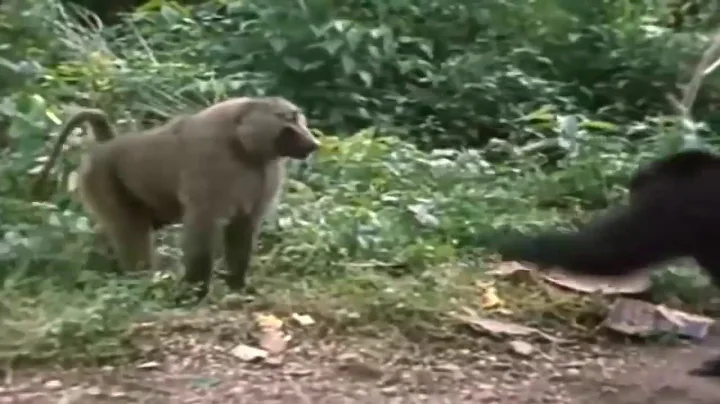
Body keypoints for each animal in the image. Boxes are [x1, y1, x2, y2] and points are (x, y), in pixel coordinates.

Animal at [32, 97, 321, 302]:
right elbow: (202, 227)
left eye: (299, 119)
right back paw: (142, 283)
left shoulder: (265, 175)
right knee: (130, 231)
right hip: (99, 178)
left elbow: (243, 228)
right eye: (289, 120)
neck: (244, 145)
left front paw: (238, 286)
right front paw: (193, 292)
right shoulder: (210, 165)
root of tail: (106, 145)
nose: (313, 144)